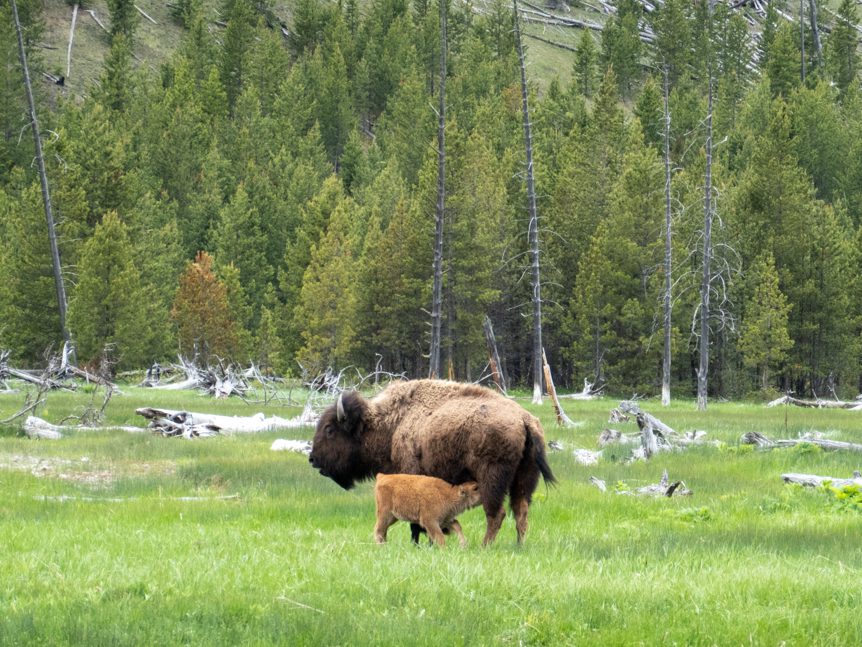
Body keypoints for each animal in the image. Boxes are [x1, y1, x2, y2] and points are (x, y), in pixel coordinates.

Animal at [308, 380, 556, 548]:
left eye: (329, 429)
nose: (312, 459)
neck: (391, 423)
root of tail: (524, 420)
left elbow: (416, 522)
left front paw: (418, 544)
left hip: (491, 479)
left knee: (496, 513)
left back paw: (485, 546)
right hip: (524, 480)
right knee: (521, 512)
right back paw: (519, 546)